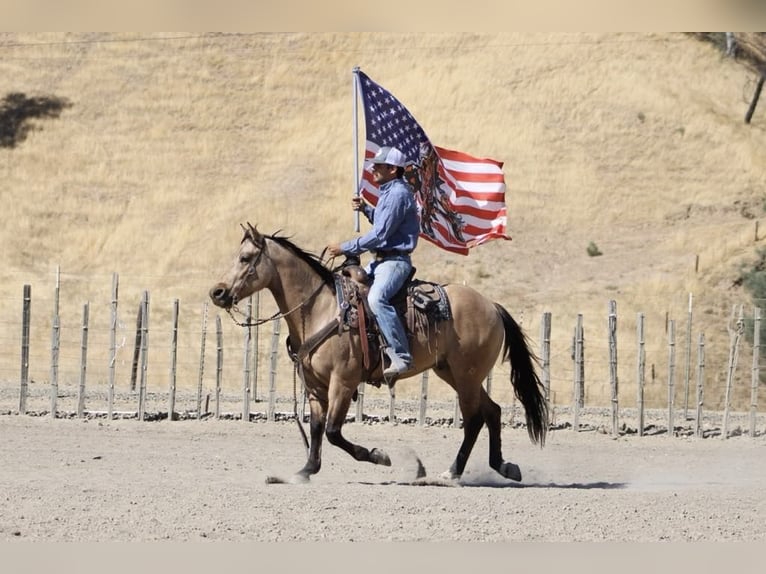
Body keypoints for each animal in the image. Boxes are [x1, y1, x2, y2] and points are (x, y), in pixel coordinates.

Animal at [209, 223, 548, 484]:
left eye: (245, 257)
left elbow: (333, 431)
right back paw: (504, 467)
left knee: (475, 419)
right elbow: (317, 429)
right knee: (492, 411)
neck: (321, 309)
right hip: (453, 372)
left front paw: (378, 456)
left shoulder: (343, 382)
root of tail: (492, 305)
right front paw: (304, 471)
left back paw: (451, 473)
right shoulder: (315, 386)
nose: (217, 292)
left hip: (466, 376)